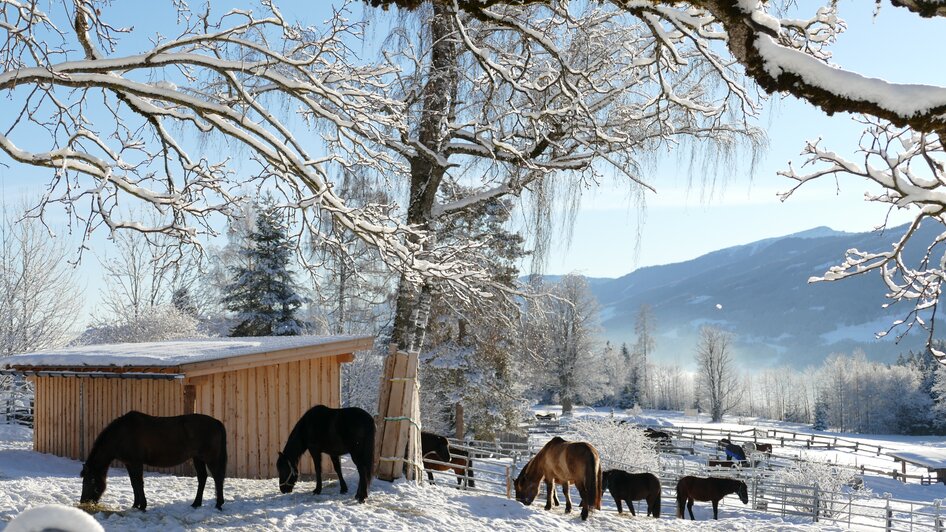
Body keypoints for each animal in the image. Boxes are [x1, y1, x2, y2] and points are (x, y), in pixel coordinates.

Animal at [79, 412, 227, 512]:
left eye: (89, 481)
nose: (83, 502)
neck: (122, 434)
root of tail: (216, 422)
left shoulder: (136, 463)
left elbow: (139, 483)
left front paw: (142, 506)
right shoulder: (129, 464)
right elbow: (134, 484)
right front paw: (135, 505)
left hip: (210, 458)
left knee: (218, 478)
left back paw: (218, 504)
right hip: (198, 458)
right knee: (202, 478)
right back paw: (196, 503)